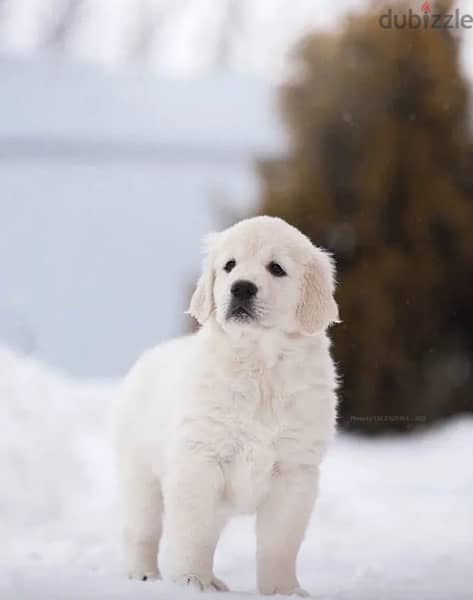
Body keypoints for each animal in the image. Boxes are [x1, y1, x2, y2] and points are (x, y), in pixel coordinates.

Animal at [117, 217, 340, 596]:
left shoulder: (293, 473)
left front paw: (283, 590)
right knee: (142, 530)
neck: (259, 364)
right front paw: (190, 580)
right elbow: (192, 533)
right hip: (140, 476)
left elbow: (279, 544)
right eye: (229, 266)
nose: (242, 288)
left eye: (276, 268)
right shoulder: (199, 461)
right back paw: (143, 574)